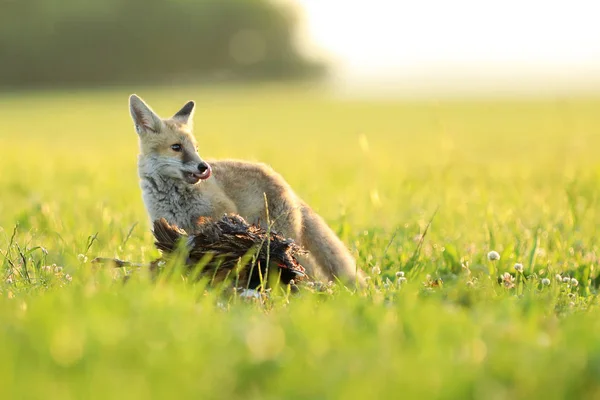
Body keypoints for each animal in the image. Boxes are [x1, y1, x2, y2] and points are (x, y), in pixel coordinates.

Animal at [130, 95, 366, 286]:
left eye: (196, 148)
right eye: (176, 147)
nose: (204, 167)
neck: (174, 197)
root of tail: (282, 181)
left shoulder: (220, 214)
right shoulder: (173, 228)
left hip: (281, 237)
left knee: (305, 269)